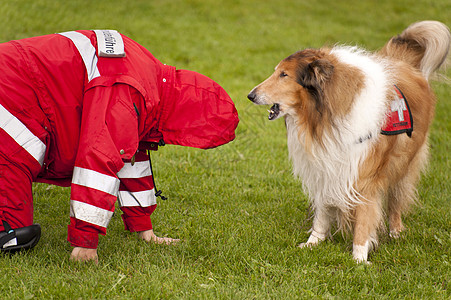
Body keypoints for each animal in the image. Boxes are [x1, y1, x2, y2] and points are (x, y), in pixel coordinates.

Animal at [249, 21, 450, 262]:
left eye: (284, 74)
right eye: (277, 72)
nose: (250, 95)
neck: (322, 116)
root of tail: (402, 62)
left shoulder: (365, 175)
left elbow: (364, 217)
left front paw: (359, 258)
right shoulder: (326, 166)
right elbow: (322, 211)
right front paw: (313, 242)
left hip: (403, 163)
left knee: (396, 198)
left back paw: (395, 231)